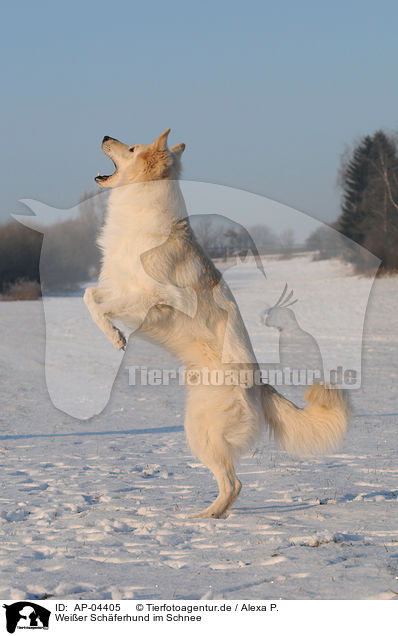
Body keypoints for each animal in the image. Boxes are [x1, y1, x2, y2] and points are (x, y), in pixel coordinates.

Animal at [84, 128, 348, 516]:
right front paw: (114, 336)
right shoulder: (117, 286)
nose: (104, 134)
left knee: (233, 483)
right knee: (232, 483)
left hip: (201, 431)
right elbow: (90, 296)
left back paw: (205, 517)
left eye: (131, 148)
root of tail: (260, 385)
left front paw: (117, 338)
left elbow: (97, 303)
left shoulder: (153, 299)